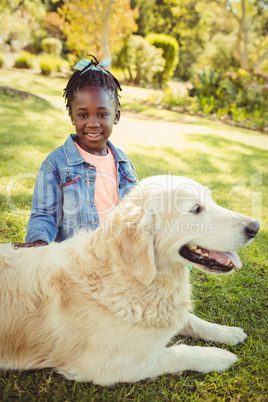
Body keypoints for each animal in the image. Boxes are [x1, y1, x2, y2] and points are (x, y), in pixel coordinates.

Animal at [0, 174, 260, 384]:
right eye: (196, 209)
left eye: (212, 201)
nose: (256, 226)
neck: (131, 277)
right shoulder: (110, 367)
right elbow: (182, 351)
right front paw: (219, 356)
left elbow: (191, 319)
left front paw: (226, 332)